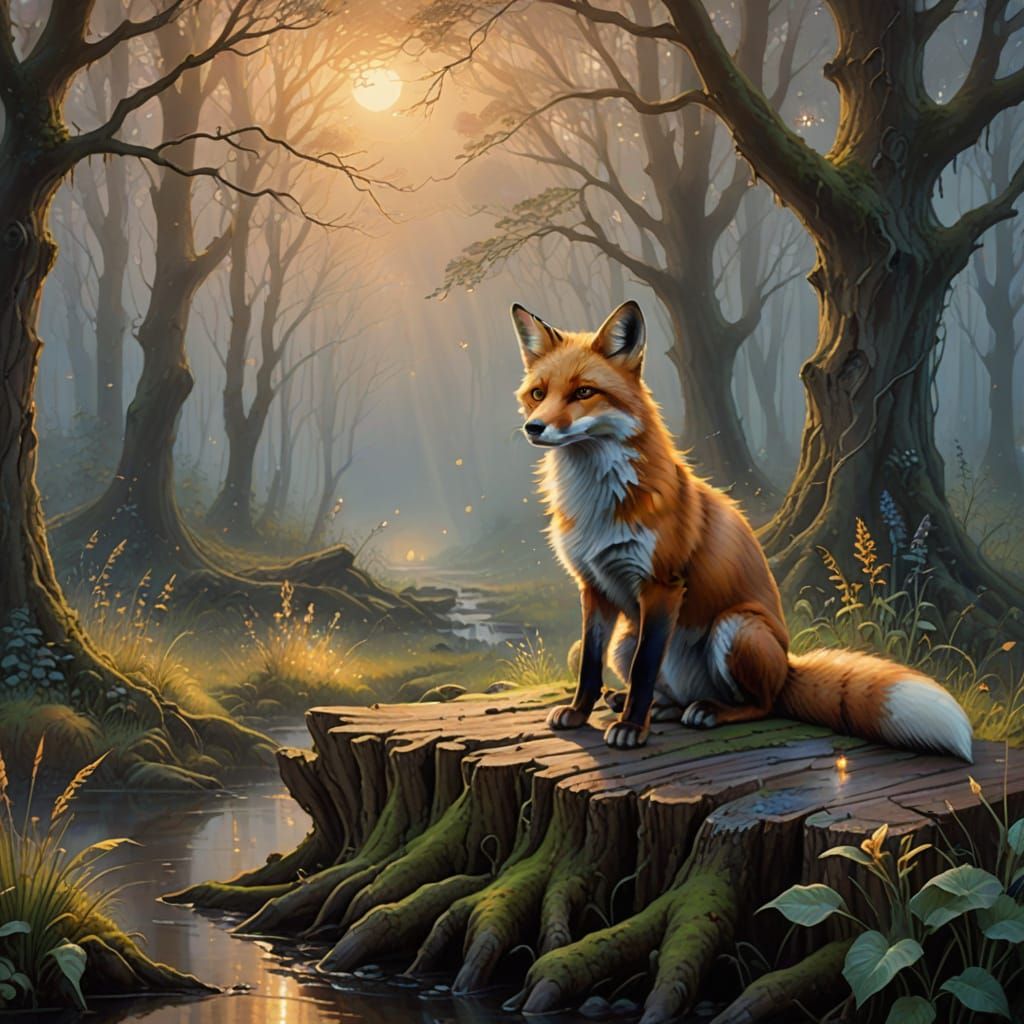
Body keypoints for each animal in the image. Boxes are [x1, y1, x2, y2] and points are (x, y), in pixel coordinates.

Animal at [511, 299, 973, 761]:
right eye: (538, 394)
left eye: (583, 392)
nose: (534, 428)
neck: (597, 503)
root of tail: (787, 666)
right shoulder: (593, 586)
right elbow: (590, 663)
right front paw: (580, 713)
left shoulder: (662, 585)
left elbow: (644, 669)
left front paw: (630, 729)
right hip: (628, 639)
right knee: (669, 692)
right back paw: (655, 705)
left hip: (735, 627)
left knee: (761, 704)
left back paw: (707, 711)